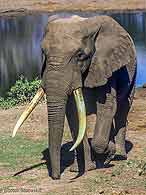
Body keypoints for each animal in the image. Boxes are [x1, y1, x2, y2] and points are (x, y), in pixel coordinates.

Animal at [12, 14, 137, 180]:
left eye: (80, 55)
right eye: (43, 53)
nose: (56, 177)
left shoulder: (104, 66)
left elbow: (107, 107)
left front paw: (109, 153)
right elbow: (73, 114)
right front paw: (85, 168)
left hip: (132, 70)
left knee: (123, 107)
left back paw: (120, 156)